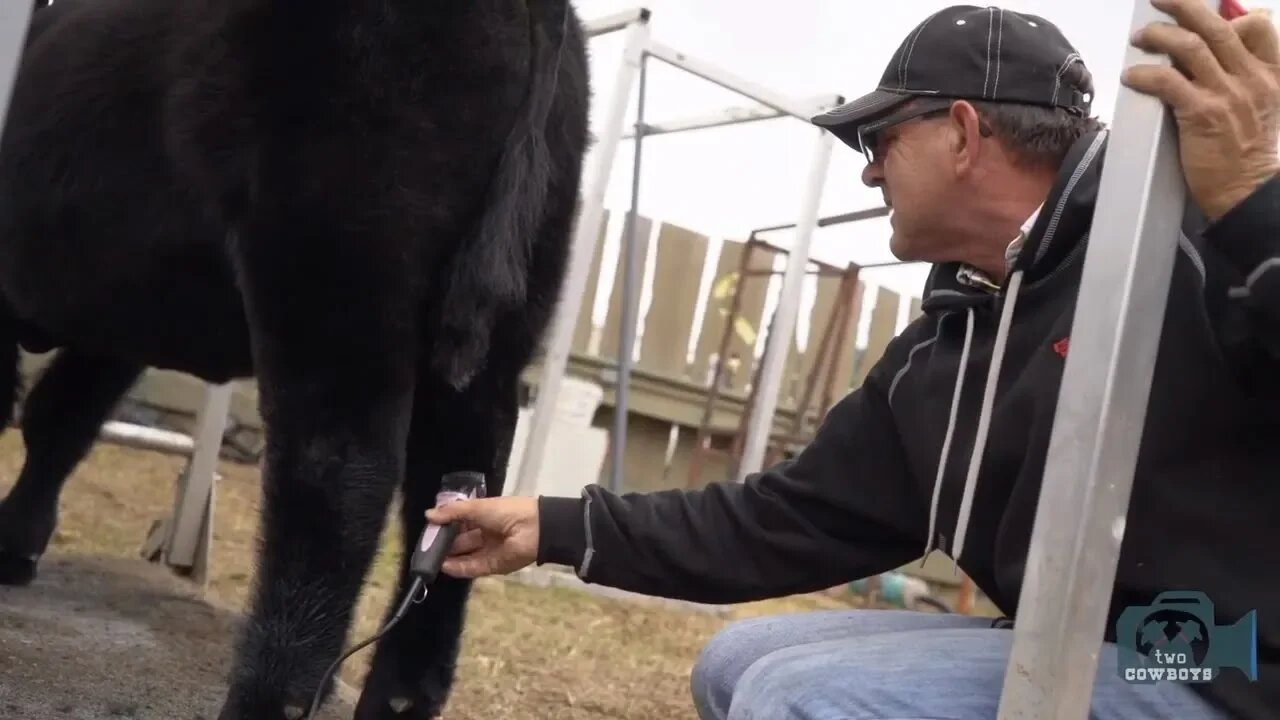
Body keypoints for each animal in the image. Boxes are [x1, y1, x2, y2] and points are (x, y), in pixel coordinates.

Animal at [0, 0, 588, 712]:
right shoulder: (115, 326)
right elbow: (60, 422)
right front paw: (16, 545)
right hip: (505, 316)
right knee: (459, 475)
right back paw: (396, 696)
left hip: (332, 259)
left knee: (335, 473)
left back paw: (264, 695)